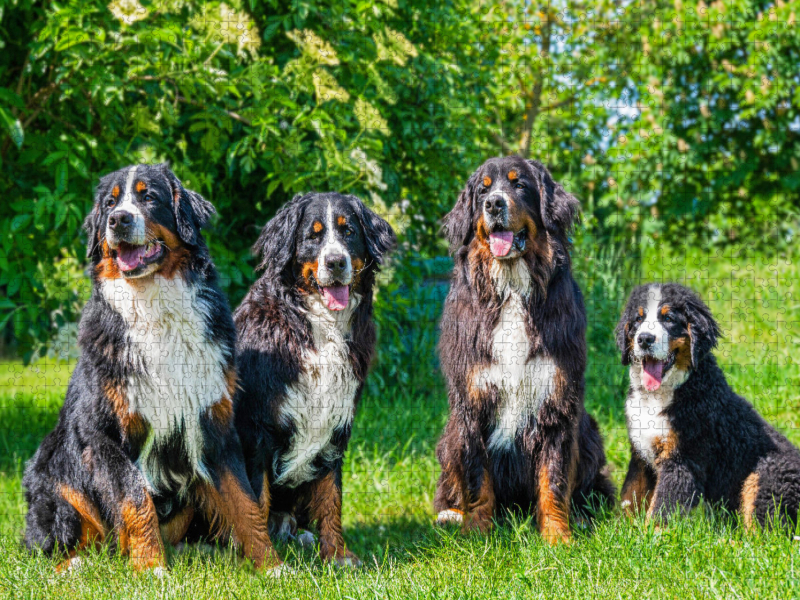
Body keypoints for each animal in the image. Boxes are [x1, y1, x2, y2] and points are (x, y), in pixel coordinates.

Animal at [21, 163, 282, 572]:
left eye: (149, 197)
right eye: (110, 203)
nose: (118, 220)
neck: (154, 305)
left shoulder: (215, 426)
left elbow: (245, 503)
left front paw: (271, 565)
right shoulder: (105, 434)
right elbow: (135, 499)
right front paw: (151, 567)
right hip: (55, 478)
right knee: (55, 547)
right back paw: (78, 565)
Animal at [233, 191, 396, 568]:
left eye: (349, 231)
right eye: (313, 235)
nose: (335, 262)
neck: (319, 329)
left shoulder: (335, 428)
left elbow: (330, 498)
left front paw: (336, 555)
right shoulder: (257, 430)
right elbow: (256, 502)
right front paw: (267, 562)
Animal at [432, 155, 612, 544]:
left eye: (519, 185)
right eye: (482, 189)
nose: (493, 204)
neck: (512, 288)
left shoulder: (557, 400)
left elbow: (553, 479)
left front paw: (558, 536)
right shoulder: (471, 404)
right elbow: (477, 478)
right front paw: (478, 533)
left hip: (589, 431)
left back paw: (584, 516)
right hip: (449, 435)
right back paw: (450, 515)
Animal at [620, 284, 800, 528]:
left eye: (668, 318)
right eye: (638, 319)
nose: (645, 339)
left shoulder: (682, 459)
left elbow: (662, 508)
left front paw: (651, 536)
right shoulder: (640, 455)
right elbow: (630, 496)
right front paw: (620, 530)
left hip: (767, 475)